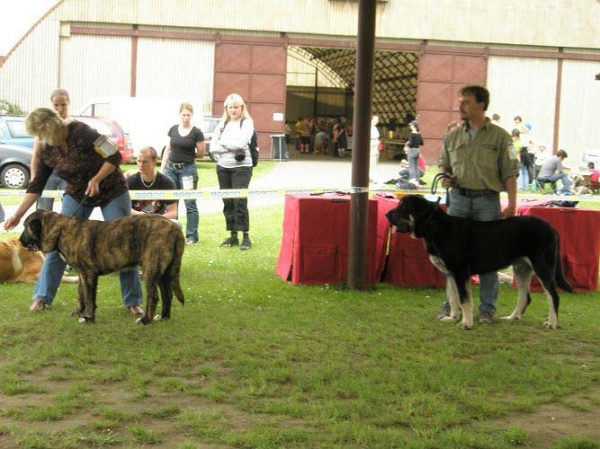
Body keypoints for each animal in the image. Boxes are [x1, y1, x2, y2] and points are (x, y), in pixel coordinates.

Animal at [19, 208, 184, 324]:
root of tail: (174, 228)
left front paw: (88, 318)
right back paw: (163, 317)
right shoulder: (82, 274)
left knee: (154, 296)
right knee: (167, 295)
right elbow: (81, 295)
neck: (61, 231)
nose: (20, 241)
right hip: (163, 273)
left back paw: (145, 320)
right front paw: (80, 312)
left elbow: (89, 298)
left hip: (150, 270)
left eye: (25, 227)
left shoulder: (89, 273)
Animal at [384, 194, 572, 328]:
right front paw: (452, 318)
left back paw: (552, 323)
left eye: (403, 207)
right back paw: (512, 317)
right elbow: (454, 299)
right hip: (521, 268)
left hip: (543, 266)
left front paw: (466, 323)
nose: (386, 214)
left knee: (553, 295)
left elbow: (464, 300)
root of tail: (551, 227)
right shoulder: (449, 274)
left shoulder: (461, 272)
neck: (435, 227)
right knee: (524, 297)